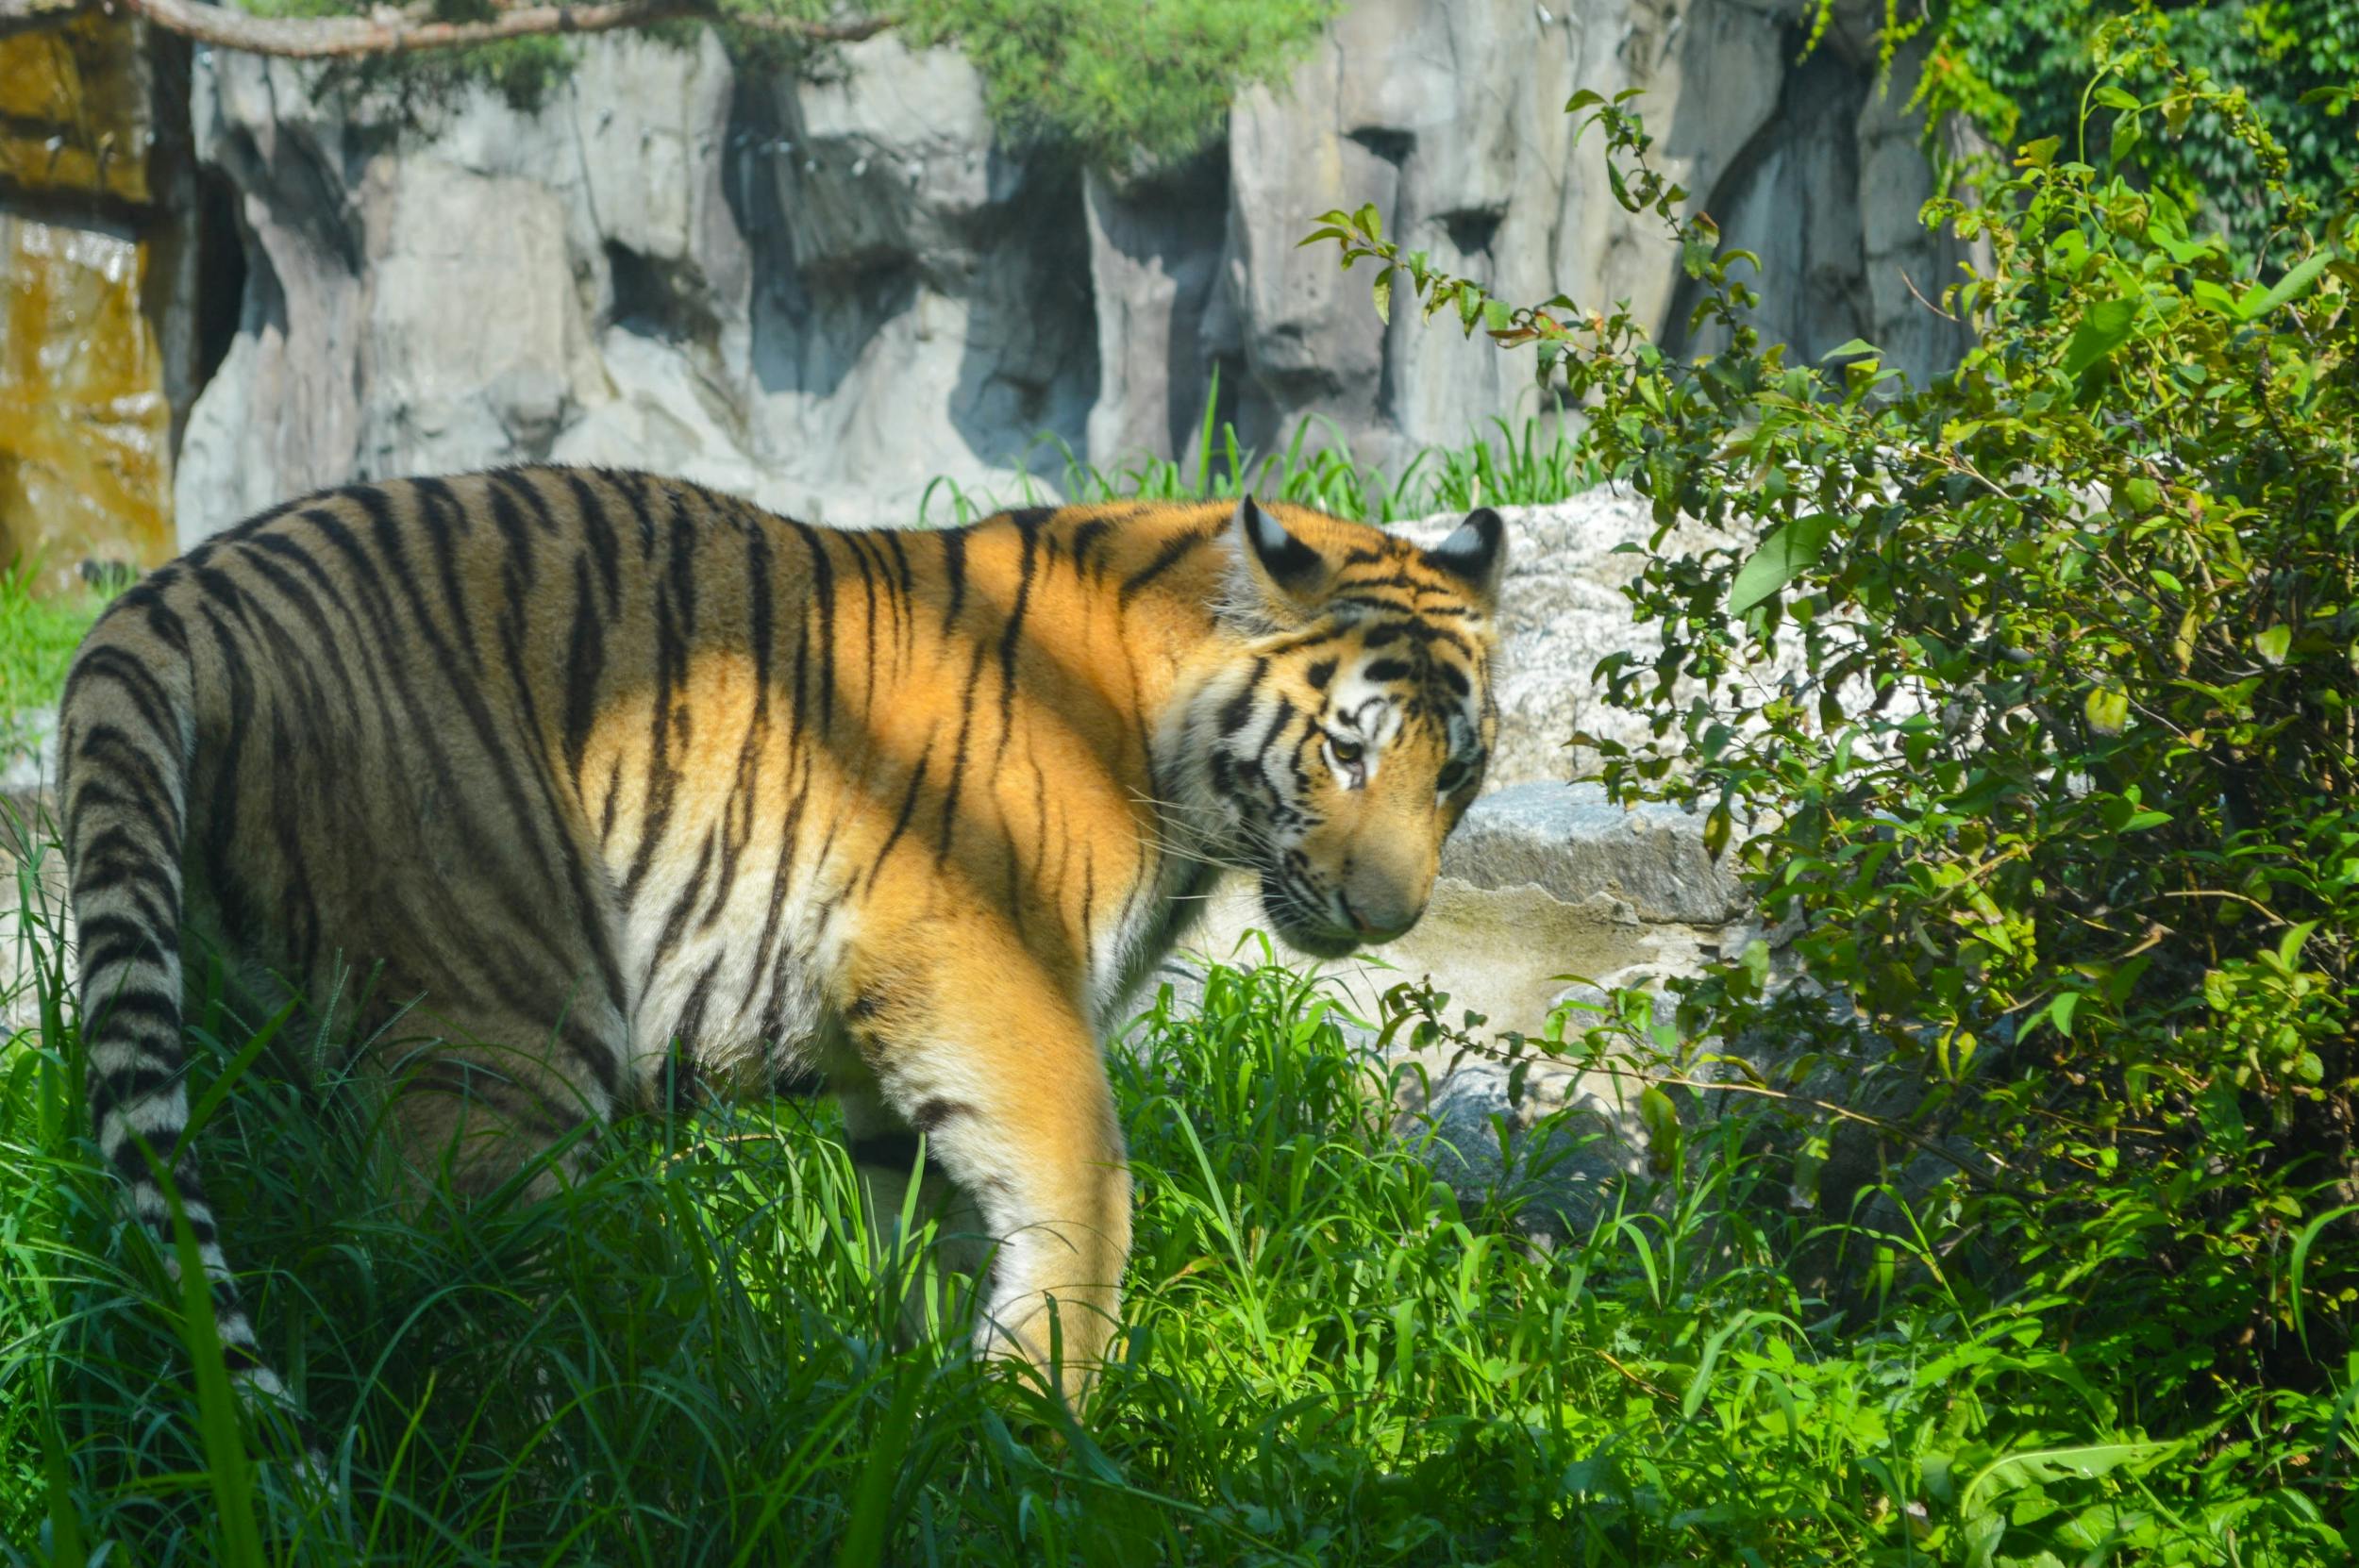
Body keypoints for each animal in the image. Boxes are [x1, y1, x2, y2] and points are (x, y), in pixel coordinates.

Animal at [58, 467, 1507, 1438]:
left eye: (1458, 771)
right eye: (1347, 752)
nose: (1391, 916)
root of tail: (171, 598)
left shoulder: (893, 1044)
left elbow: (938, 1226)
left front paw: (935, 1411)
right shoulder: (980, 967)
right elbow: (1086, 1191)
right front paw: (1046, 1421)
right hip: (503, 1023)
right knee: (452, 1277)